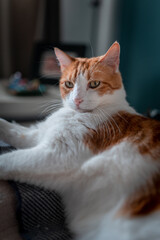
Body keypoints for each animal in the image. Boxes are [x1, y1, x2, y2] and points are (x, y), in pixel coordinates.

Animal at [0, 42, 160, 239]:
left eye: (94, 84)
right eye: (69, 84)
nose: (76, 100)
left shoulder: (56, 154)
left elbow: (8, 160)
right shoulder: (39, 135)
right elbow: (14, 130)